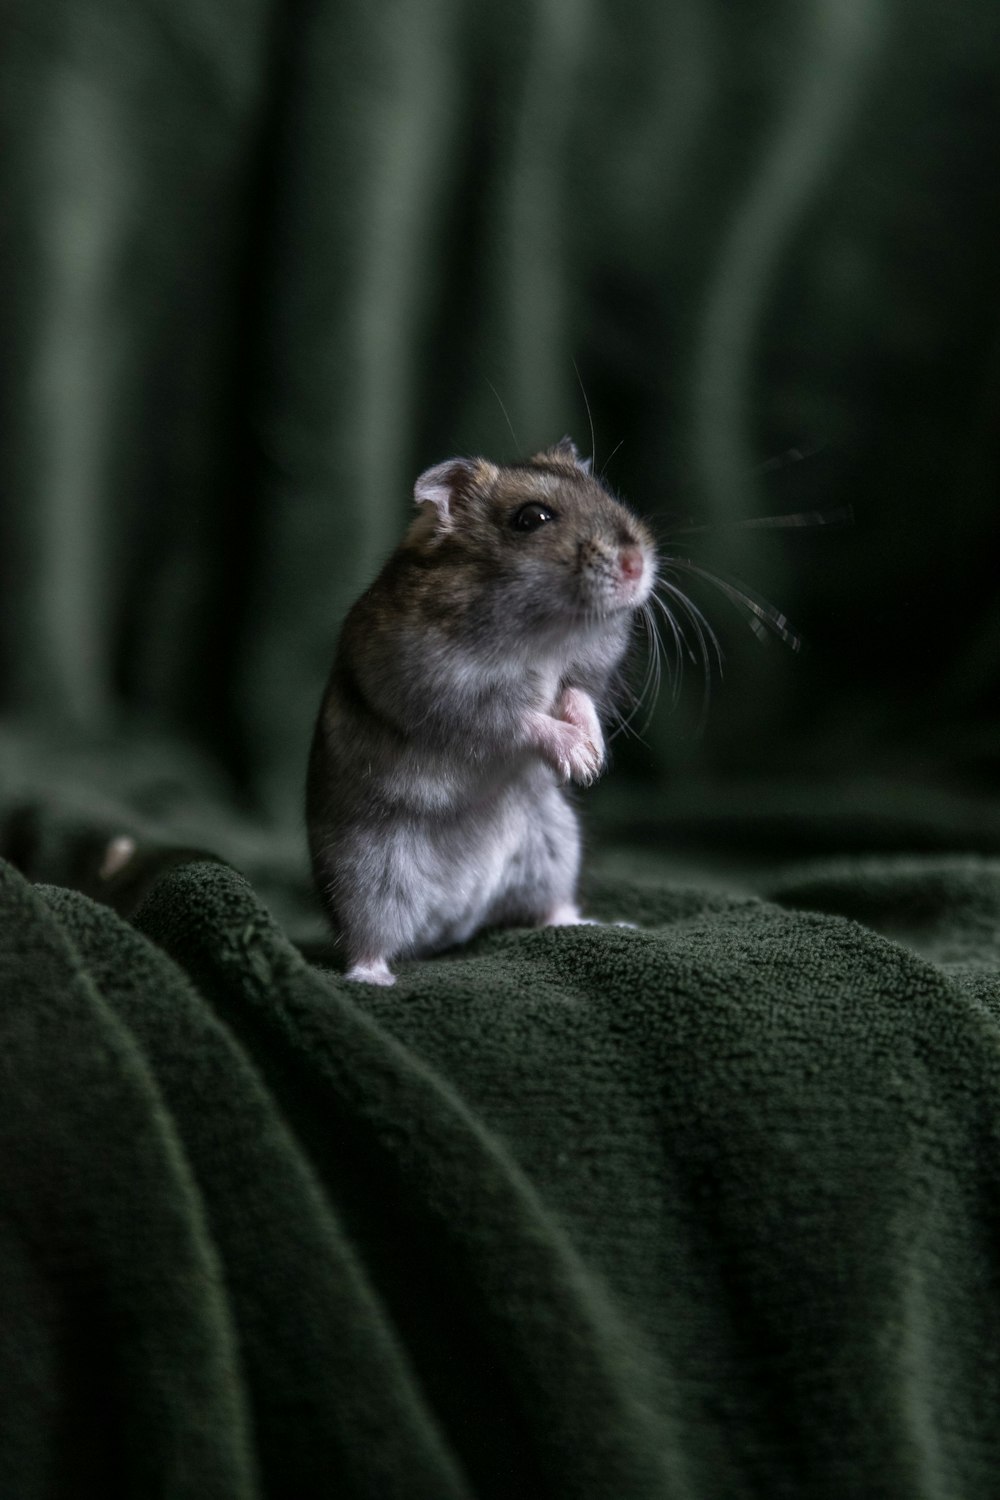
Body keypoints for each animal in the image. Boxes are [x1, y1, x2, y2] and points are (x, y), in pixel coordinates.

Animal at [308, 435, 659, 984]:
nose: (637, 566)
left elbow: (576, 696)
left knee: (553, 908)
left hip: (555, 845)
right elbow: (520, 719)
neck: (546, 633)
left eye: (605, 494)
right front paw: (579, 759)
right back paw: (374, 979)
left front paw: (593, 759)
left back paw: (603, 925)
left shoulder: (585, 672)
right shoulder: (448, 694)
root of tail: (454, 924)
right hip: (366, 878)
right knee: (367, 940)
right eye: (531, 518)